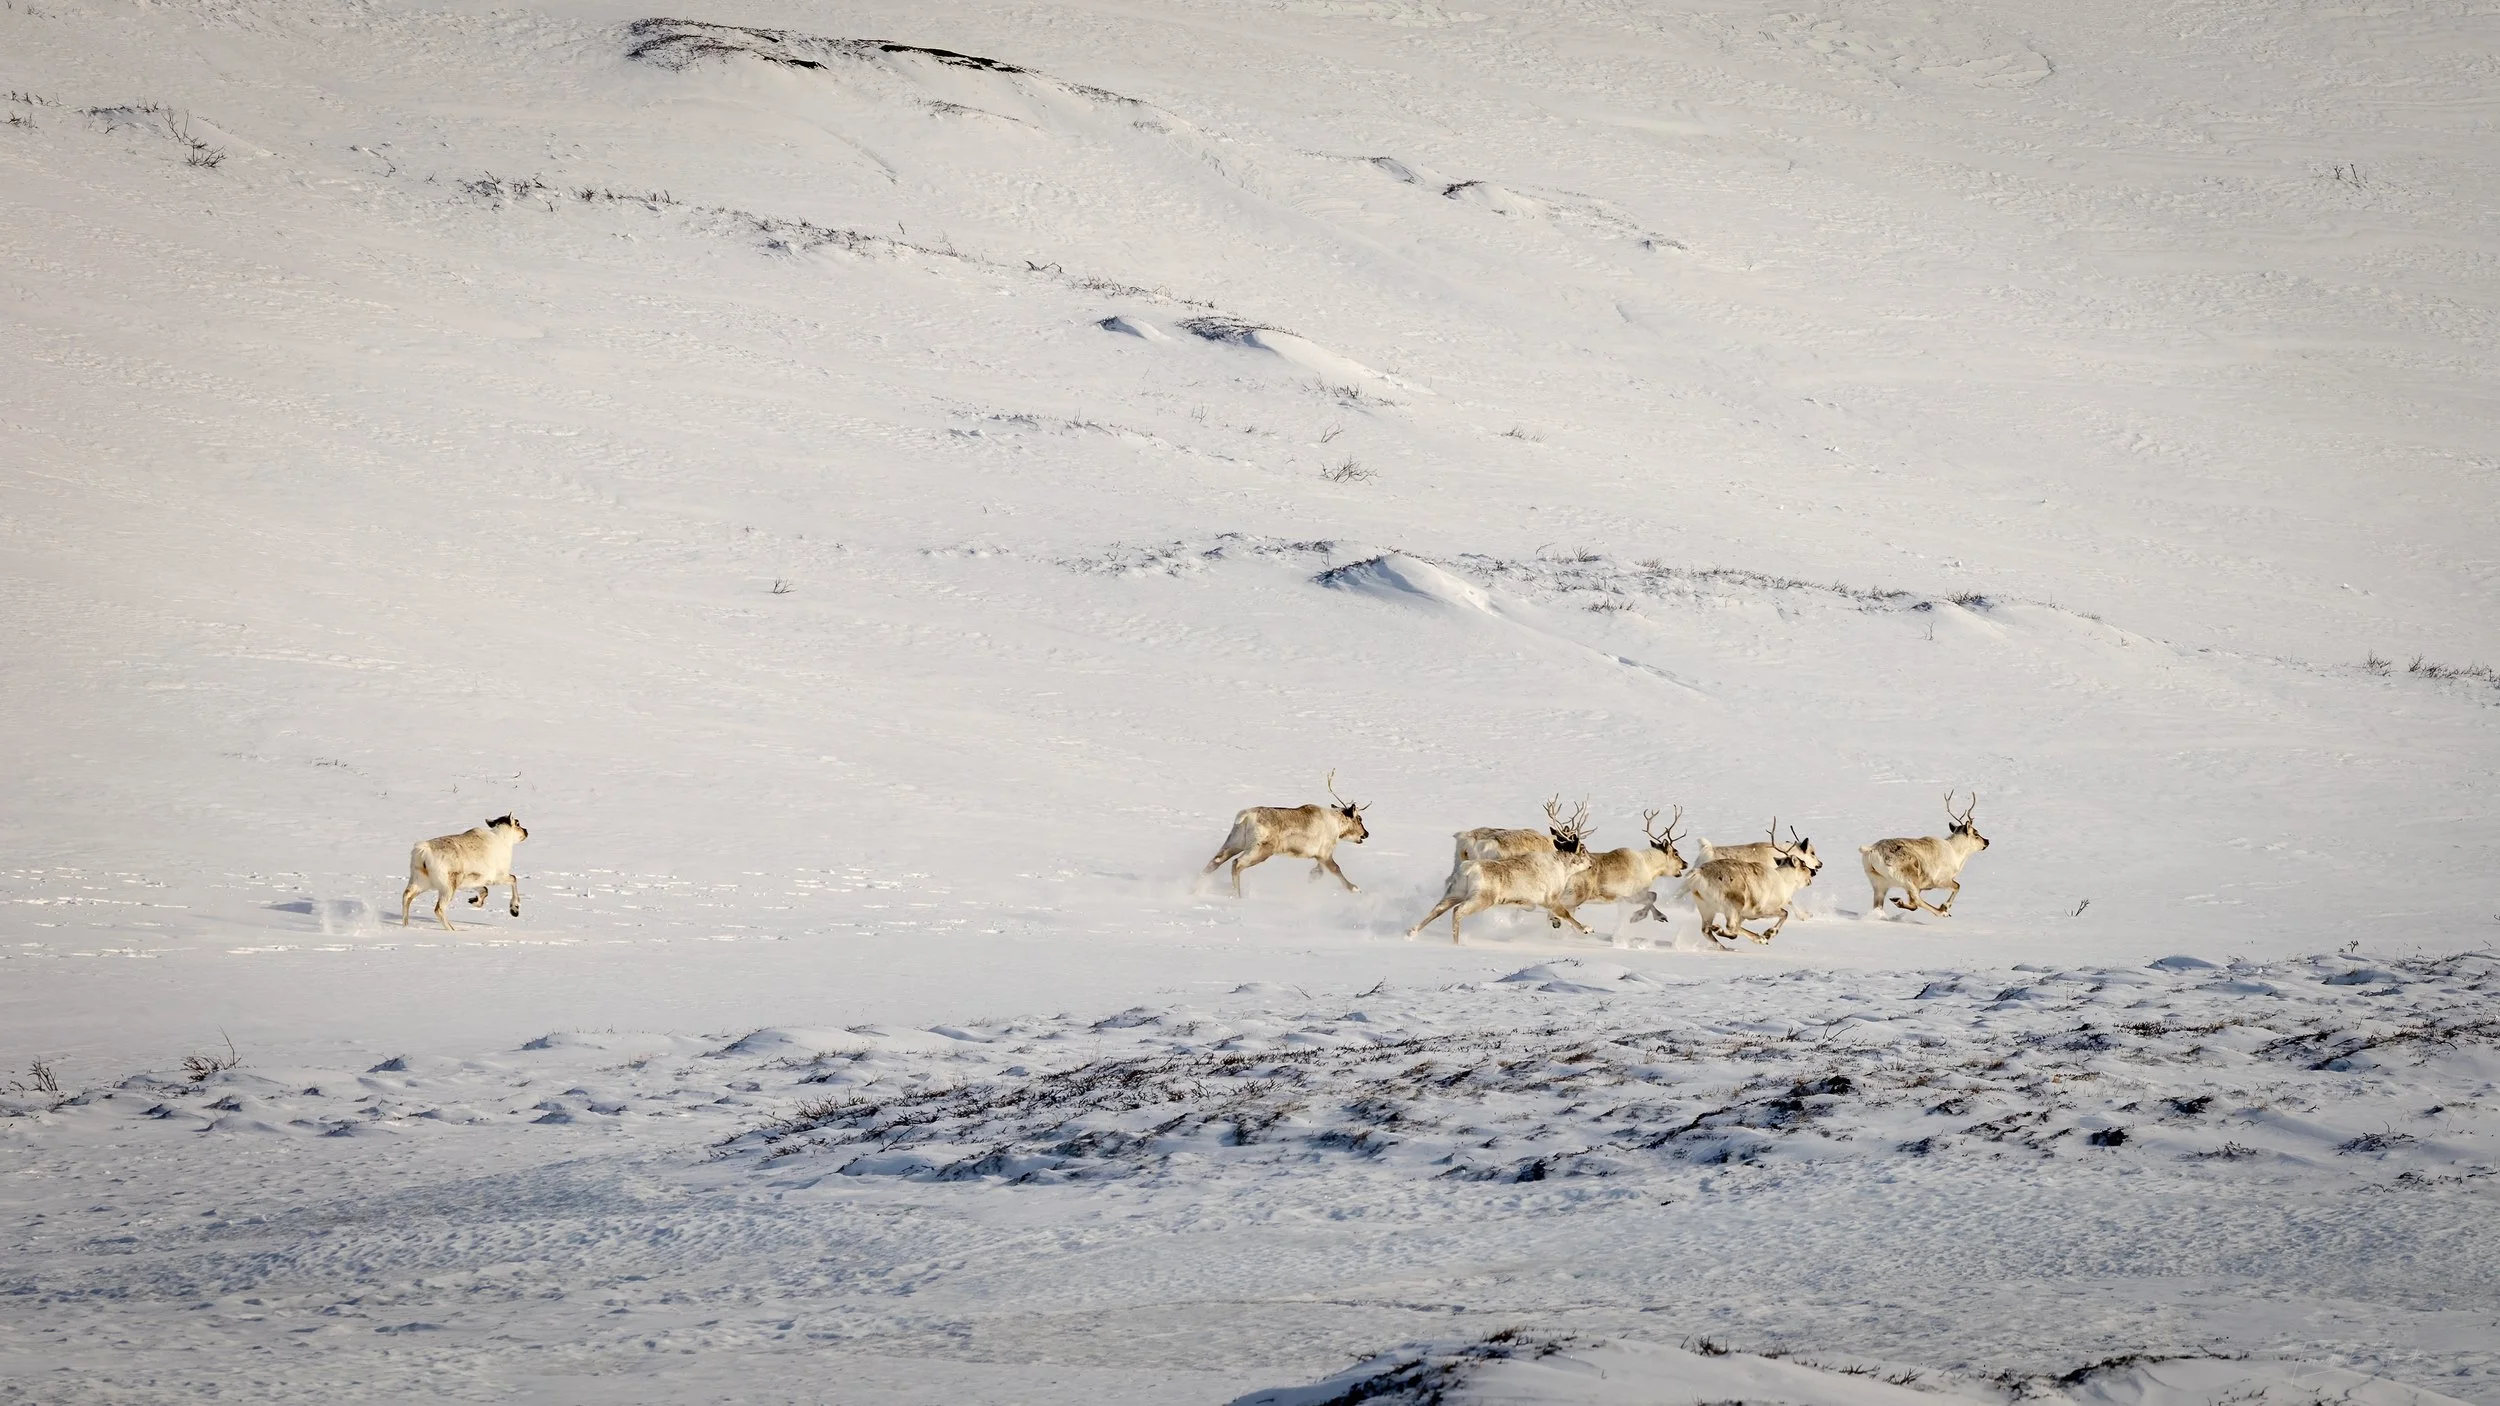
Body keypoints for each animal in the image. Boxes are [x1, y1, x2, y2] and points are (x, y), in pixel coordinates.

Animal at [1203, 771, 1370, 898]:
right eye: (1360, 819)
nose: (1366, 833)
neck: (1337, 826)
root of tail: (1246, 816)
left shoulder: (1319, 855)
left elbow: (1320, 870)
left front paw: (1312, 877)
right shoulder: (1325, 852)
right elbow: (1336, 869)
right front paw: (1355, 888)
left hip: (1235, 841)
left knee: (1215, 862)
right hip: (1261, 849)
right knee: (1236, 863)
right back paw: (1237, 895)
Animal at [1407, 849, 1594, 944]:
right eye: (1584, 854)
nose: (1592, 863)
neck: (1562, 867)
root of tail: (1469, 869)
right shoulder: (1551, 899)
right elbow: (1566, 913)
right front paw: (1587, 929)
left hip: (1455, 892)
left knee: (1437, 910)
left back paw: (1411, 932)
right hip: (1481, 899)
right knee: (1457, 911)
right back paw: (1457, 944)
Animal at [1862, 790, 1990, 918]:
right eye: (1976, 833)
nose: (1987, 841)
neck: (1956, 854)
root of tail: (1870, 850)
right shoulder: (1940, 880)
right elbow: (1958, 886)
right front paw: (1946, 906)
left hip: (1879, 883)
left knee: (1879, 905)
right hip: (1909, 879)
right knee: (1917, 901)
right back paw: (1941, 911)